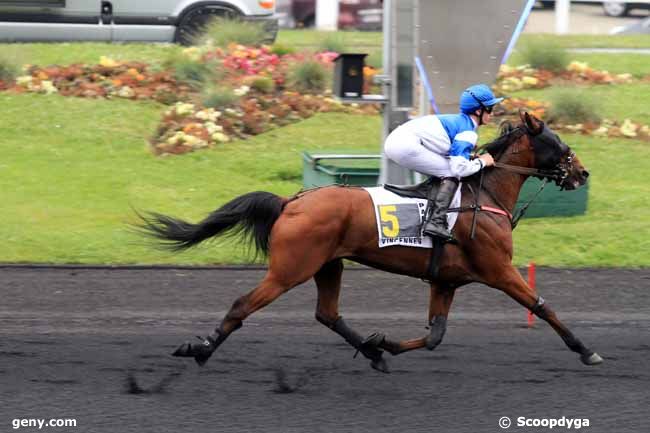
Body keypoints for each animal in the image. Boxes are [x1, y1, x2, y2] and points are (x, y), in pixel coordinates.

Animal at [139, 111, 600, 372]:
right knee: (242, 305)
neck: (483, 196)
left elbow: (435, 335)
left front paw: (385, 344)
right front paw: (585, 350)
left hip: (329, 265)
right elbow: (542, 306)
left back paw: (372, 351)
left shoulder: (445, 281)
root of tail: (292, 201)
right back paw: (199, 351)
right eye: (558, 142)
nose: (582, 173)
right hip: (290, 269)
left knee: (327, 314)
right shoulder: (499, 271)